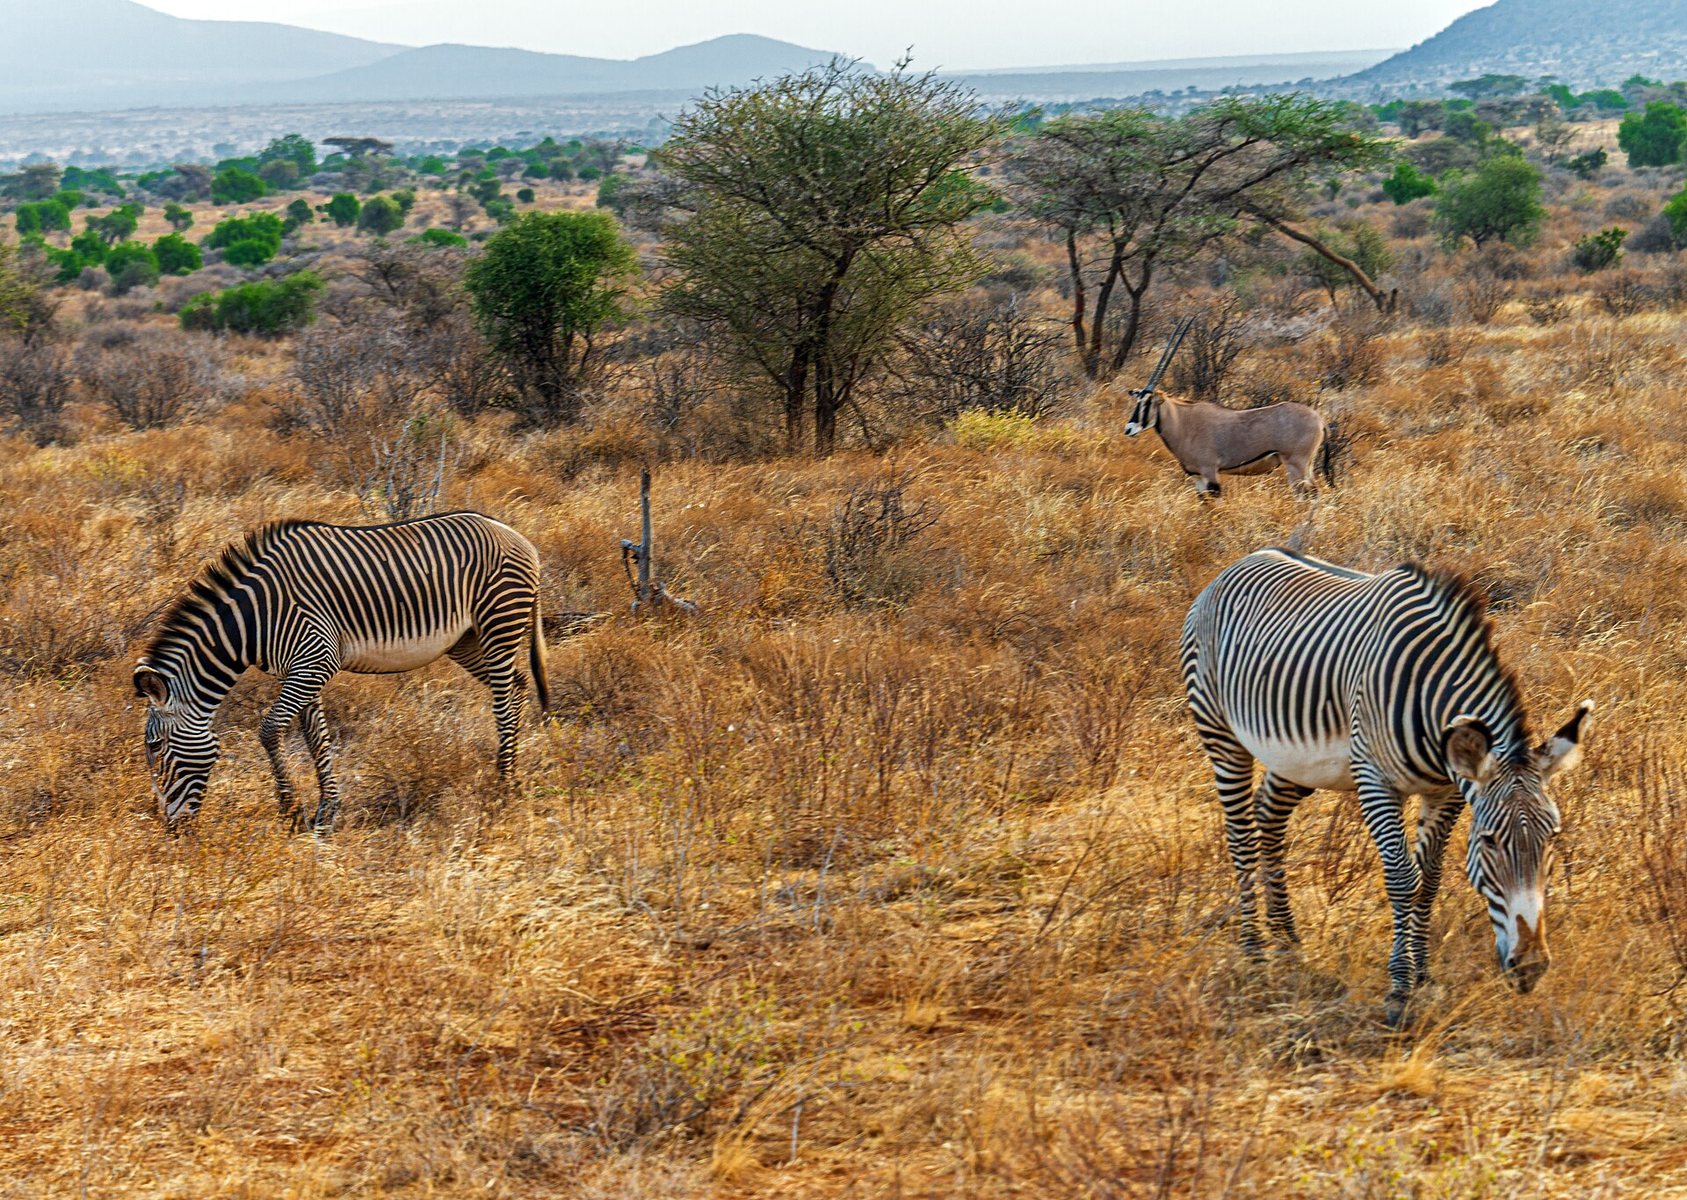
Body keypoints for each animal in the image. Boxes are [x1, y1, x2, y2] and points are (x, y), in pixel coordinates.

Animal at [134, 512, 553, 831]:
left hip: (499, 622)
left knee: (504, 700)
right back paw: (510, 773)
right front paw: (325, 813)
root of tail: (519, 537)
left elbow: (270, 730)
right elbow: (316, 740)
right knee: (516, 686)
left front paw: (291, 811)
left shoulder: (315, 661)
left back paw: (503, 784)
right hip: (466, 640)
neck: (253, 619)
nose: (171, 831)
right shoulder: (301, 670)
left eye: (155, 747)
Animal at [1181, 548, 1592, 1026]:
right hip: (1221, 734)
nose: (1530, 967)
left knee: (1269, 815)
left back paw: (1286, 940)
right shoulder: (1375, 781)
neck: (1430, 696)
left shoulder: (1446, 793)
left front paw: (1424, 977)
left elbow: (1429, 881)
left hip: (1298, 762)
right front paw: (1398, 989)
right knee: (1241, 837)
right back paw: (1255, 953)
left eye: (1553, 838)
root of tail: (1242, 561)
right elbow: (1402, 879)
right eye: (1490, 841)